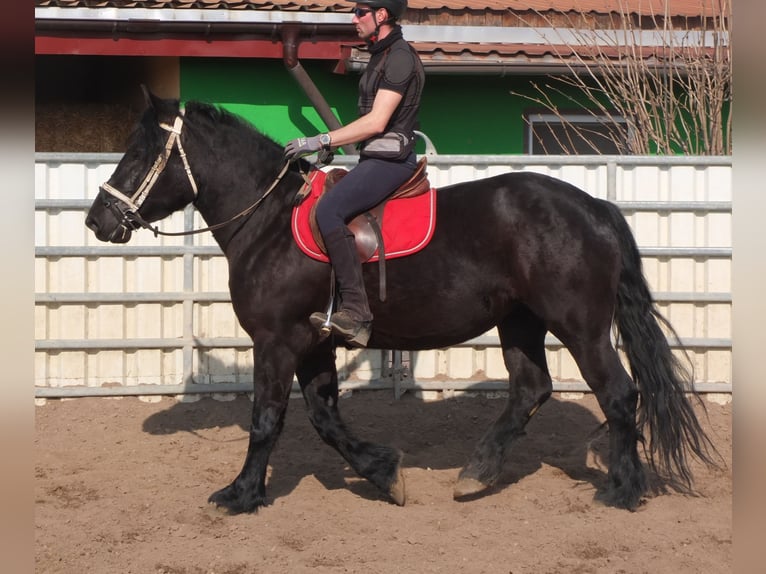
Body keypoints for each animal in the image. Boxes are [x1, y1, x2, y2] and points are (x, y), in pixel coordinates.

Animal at [85, 91, 720, 516]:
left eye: (139, 154)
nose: (98, 221)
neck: (268, 221)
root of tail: (593, 206)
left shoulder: (278, 339)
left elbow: (267, 418)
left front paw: (241, 494)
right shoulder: (314, 342)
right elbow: (324, 418)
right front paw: (384, 473)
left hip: (580, 326)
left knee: (618, 393)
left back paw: (623, 489)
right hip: (520, 322)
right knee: (530, 390)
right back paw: (476, 474)